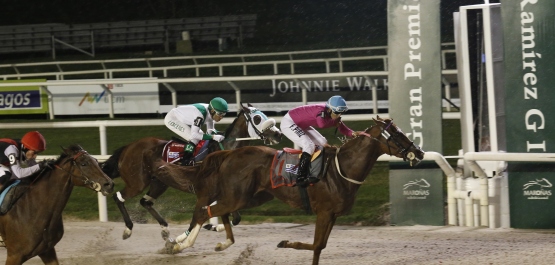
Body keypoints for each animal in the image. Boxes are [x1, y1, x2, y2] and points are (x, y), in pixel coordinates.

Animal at [101, 103, 282, 239]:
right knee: (118, 197)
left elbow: (236, 218)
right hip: (137, 182)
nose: (278, 135)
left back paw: (165, 228)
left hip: (159, 183)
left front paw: (213, 226)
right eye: (258, 118)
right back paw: (128, 228)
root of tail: (128, 147)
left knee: (145, 202)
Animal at [154, 115, 424, 264]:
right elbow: (317, 245)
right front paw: (284, 242)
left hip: (250, 198)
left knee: (219, 212)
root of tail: (231, 152)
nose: (419, 152)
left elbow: (319, 247)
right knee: (204, 212)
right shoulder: (324, 212)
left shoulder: (332, 215)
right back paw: (178, 245)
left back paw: (222, 243)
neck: (341, 169)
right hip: (238, 196)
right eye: (396, 134)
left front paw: (285, 243)